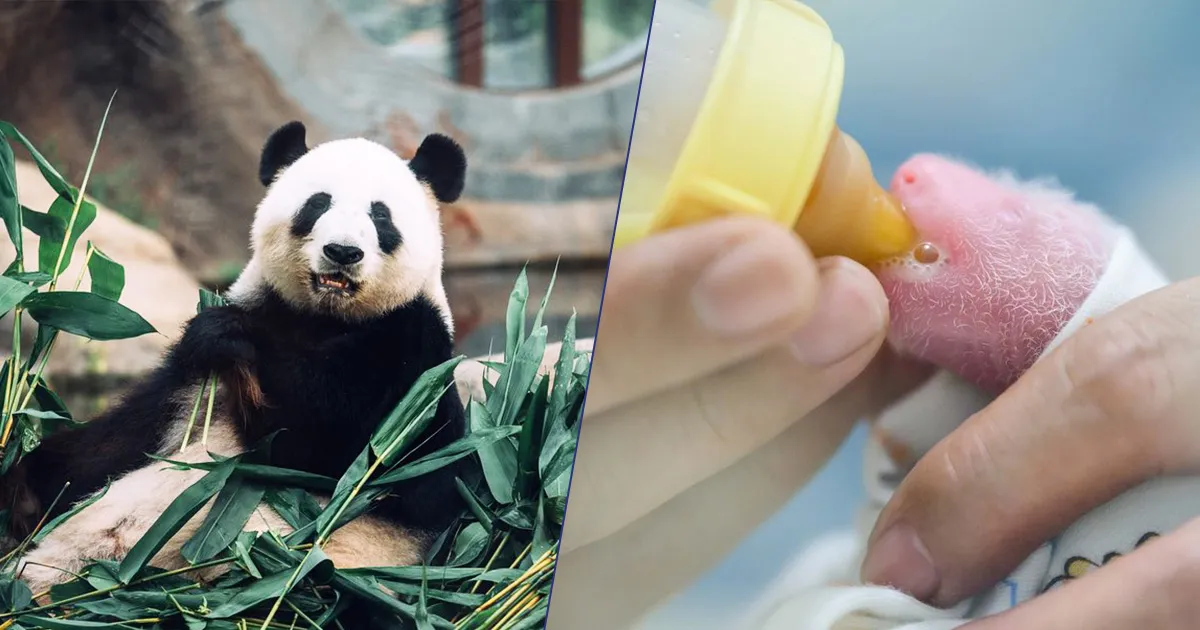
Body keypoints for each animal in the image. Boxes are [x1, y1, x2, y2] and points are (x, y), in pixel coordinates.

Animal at [0, 120, 470, 602]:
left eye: (381, 216)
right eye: (318, 203)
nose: (342, 252)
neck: (323, 317)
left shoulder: (414, 359)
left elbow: (335, 446)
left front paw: (234, 341)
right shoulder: (192, 379)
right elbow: (117, 440)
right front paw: (23, 494)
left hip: (328, 575)